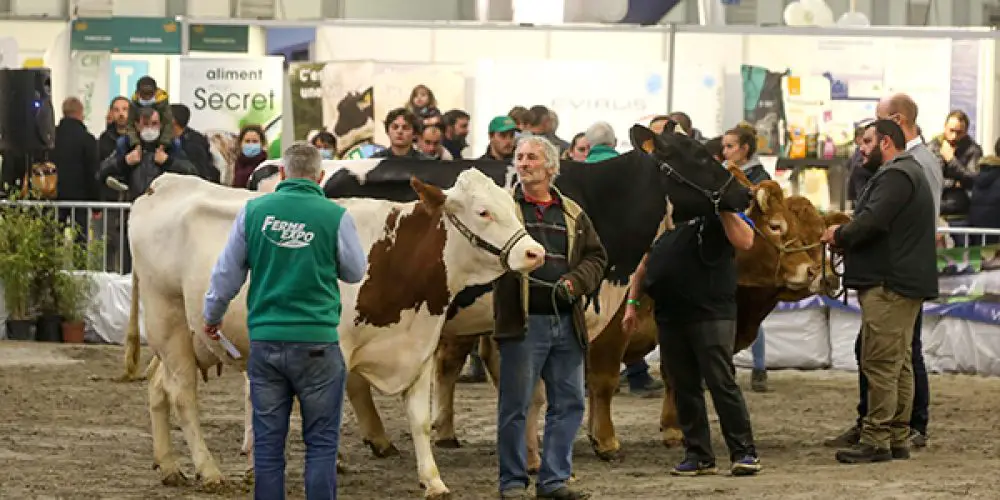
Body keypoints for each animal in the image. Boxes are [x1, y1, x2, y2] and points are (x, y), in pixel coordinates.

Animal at [125, 170, 548, 498]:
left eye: (511, 207)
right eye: (483, 212)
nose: (534, 252)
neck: (396, 256)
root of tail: (164, 183)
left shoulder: (420, 345)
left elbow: (419, 419)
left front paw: (433, 481)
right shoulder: (335, 350)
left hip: (190, 336)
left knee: (158, 386)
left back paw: (169, 466)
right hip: (167, 320)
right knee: (183, 395)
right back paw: (209, 471)